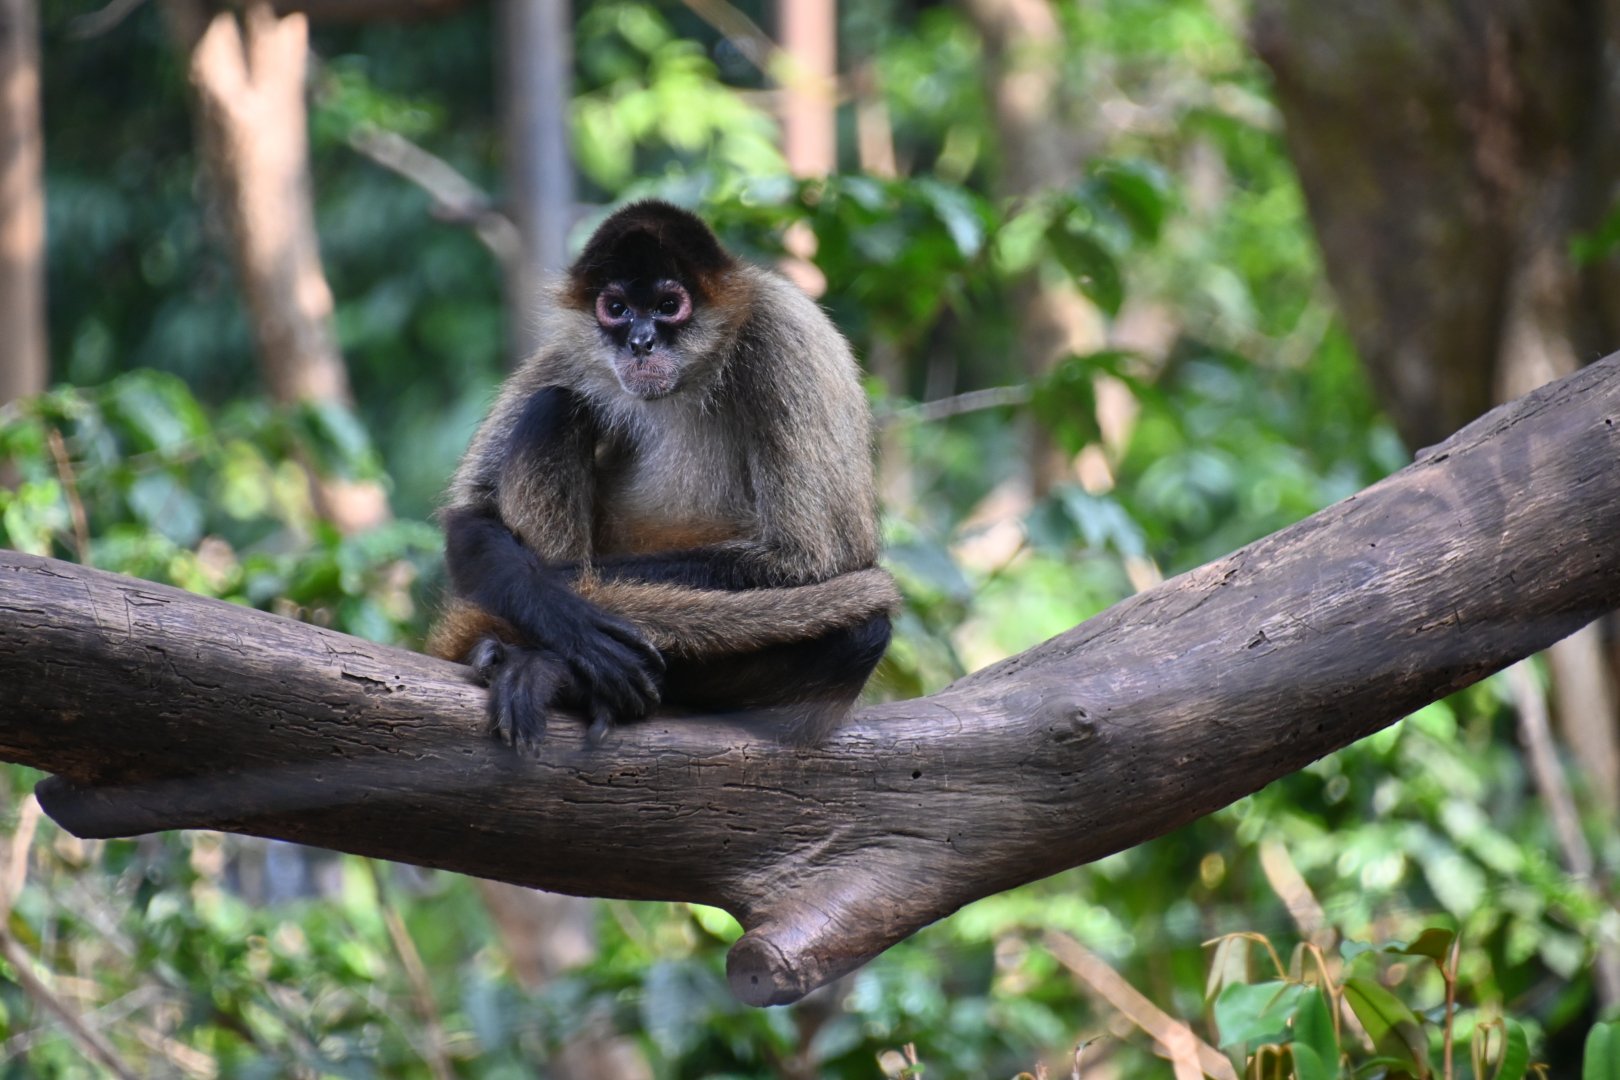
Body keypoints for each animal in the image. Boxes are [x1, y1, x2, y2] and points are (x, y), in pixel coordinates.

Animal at [427, 200, 899, 745]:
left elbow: (809, 562)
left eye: (669, 304)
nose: (640, 341)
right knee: (554, 404)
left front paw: (563, 614)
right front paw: (566, 615)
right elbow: (469, 519)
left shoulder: (784, 332)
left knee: (863, 633)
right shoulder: (573, 348)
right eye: (617, 309)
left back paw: (549, 667)